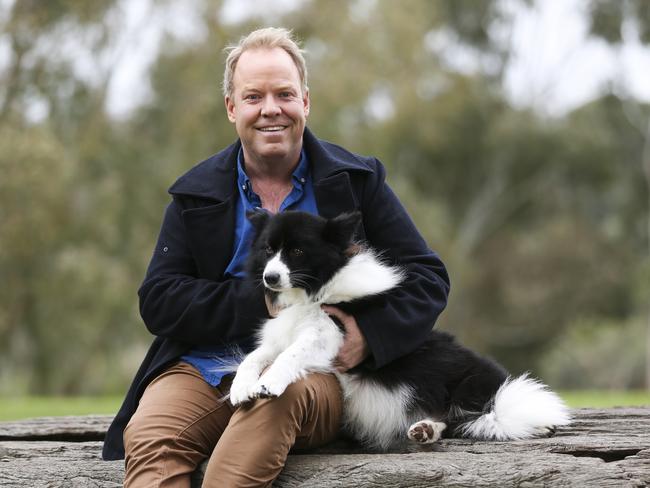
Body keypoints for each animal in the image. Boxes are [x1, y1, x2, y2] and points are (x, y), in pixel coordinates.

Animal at [229, 210, 568, 450]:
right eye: (268, 249)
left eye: (298, 252)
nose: (270, 278)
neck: (315, 288)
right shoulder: (280, 335)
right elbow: (254, 357)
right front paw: (240, 387)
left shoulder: (329, 334)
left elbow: (289, 354)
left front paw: (269, 383)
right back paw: (425, 430)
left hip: (472, 387)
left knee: (488, 414)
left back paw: (539, 424)